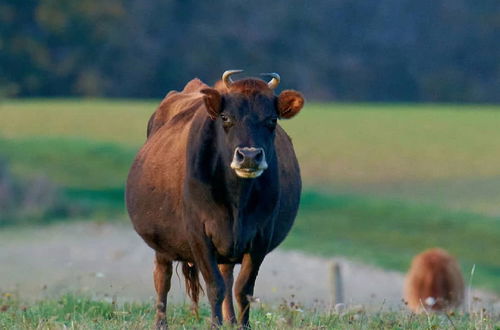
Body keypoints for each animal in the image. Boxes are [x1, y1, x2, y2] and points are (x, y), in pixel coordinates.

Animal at [127, 70, 302, 328]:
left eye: (272, 120)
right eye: (226, 118)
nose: (249, 156)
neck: (238, 201)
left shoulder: (260, 236)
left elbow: (243, 289)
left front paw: (243, 325)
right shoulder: (198, 234)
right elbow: (215, 286)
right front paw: (214, 324)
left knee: (228, 276)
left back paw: (230, 320)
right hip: (161, 241)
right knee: (162, 277)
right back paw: (161, 323)